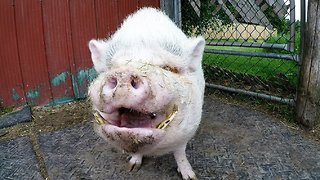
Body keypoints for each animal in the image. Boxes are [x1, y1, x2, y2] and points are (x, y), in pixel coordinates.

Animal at [88, 7, 205, 180]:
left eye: (168, 68)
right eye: (113, 67)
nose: (124, 73)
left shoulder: (188, 129)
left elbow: (180, 152)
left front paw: (190, 177)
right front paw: (132, 167)